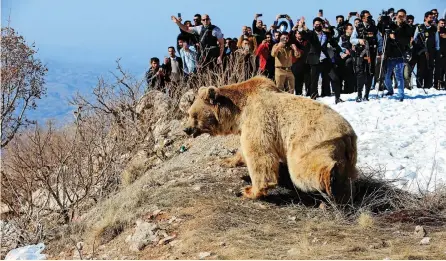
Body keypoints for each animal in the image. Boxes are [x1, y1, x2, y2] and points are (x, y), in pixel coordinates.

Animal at [185, 75, 358, 201]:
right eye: (189, 113)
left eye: (194, 115)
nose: (186, 129)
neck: (239, 111)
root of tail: (348, 134)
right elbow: (243, 150)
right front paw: (227, 160)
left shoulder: (258, 121)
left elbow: (259, 155)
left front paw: (249, 190)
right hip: (348, 156)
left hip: (309, 140)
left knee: (301, 168)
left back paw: (330, 178)